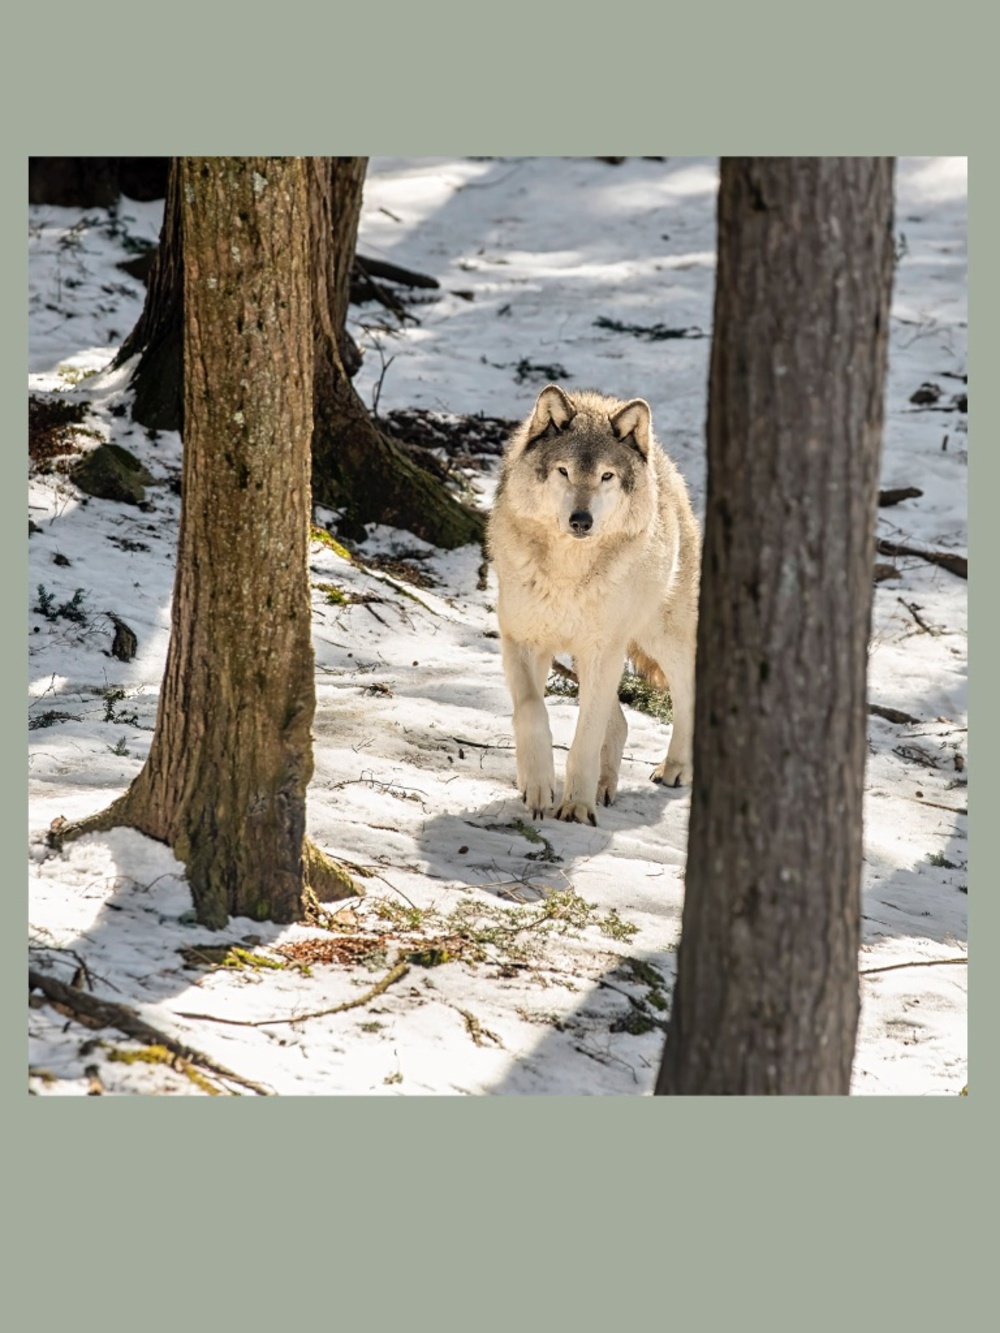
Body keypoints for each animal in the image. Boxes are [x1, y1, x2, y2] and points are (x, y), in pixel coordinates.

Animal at [487, 384, 700, 825]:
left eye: (606, 476)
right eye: (564, 471)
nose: (581, 520)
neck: (568, 574)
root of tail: (665, 464)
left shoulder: (603, 649)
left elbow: (586, 734)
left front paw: (576, 806)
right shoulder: (522, 640)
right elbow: (531, 711)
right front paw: (537, 786)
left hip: (659, 636)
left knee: (684, 690)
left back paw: (675, 768)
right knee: (618, 721)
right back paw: (605, 786)